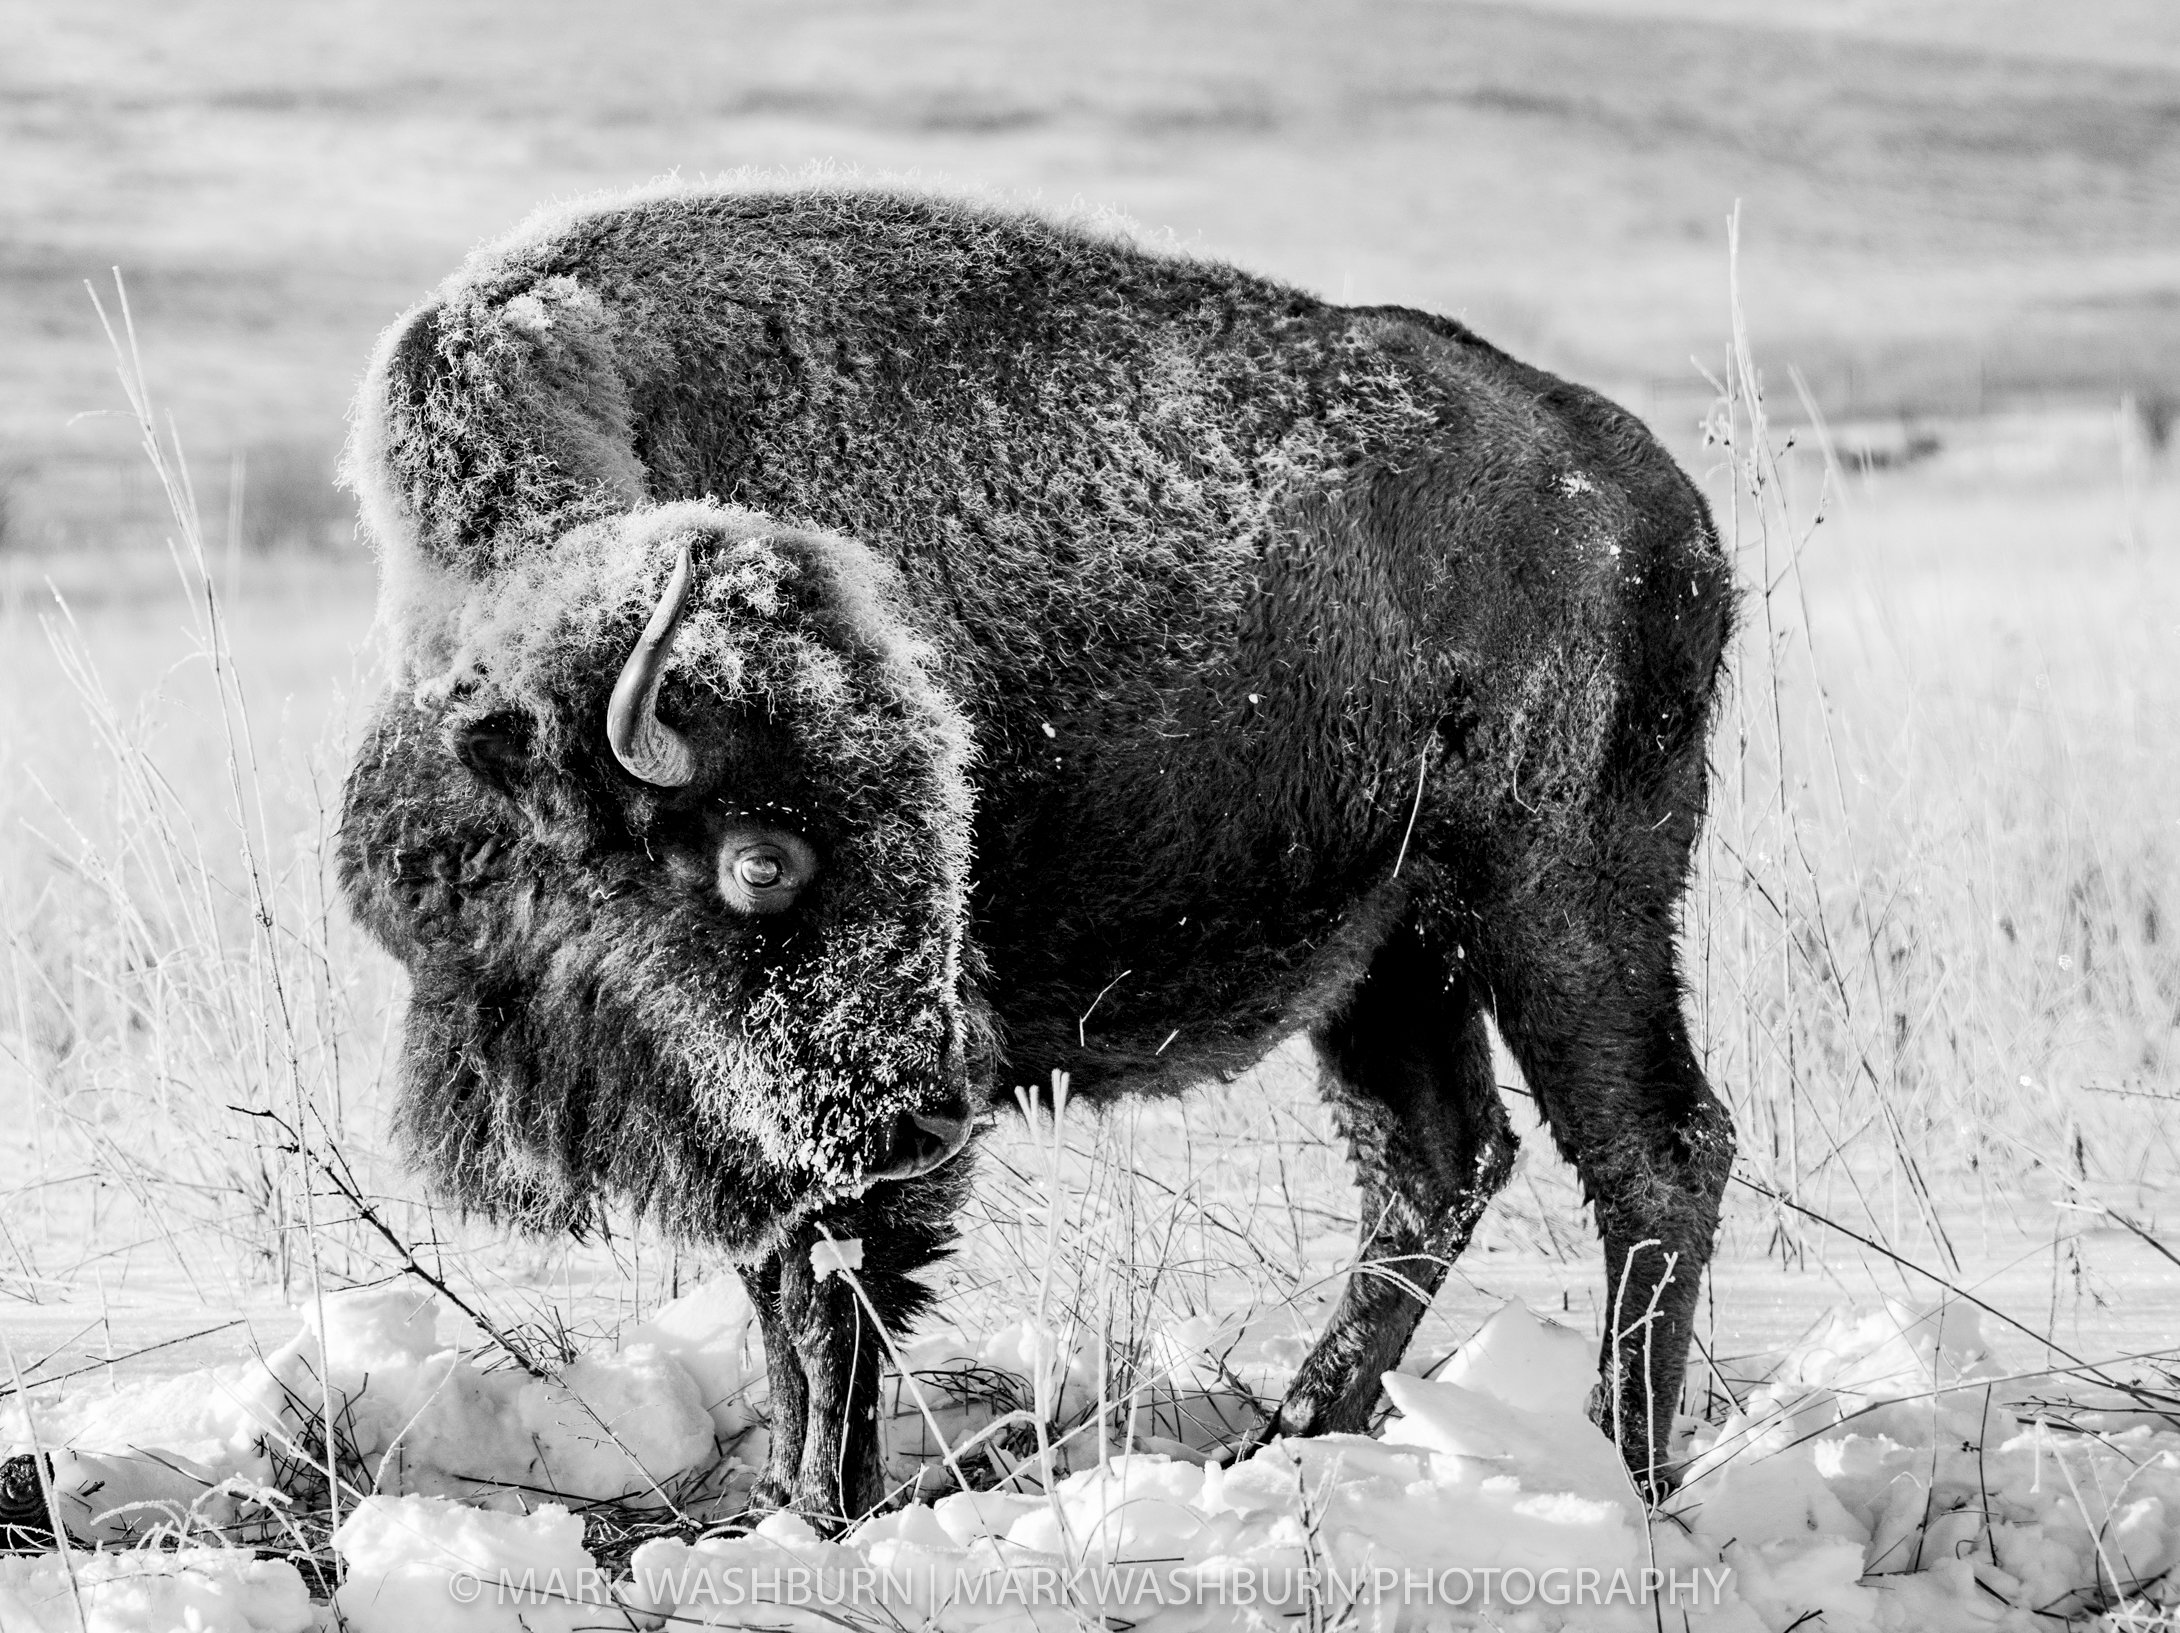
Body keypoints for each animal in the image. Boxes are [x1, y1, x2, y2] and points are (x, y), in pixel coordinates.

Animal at [336, 182, 1737, 1526]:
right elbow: (779, 1286)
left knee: (1655, 1149)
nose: (929, 1111)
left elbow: (831, 1295)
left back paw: (1625, 1471)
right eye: (758, 861)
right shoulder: (754, 1112)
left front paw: (825, 1508)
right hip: (1393, 952)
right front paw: (778, 1499)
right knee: (1433, 1164)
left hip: (1559, 906)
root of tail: (1660, 509)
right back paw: (1285, 1441)